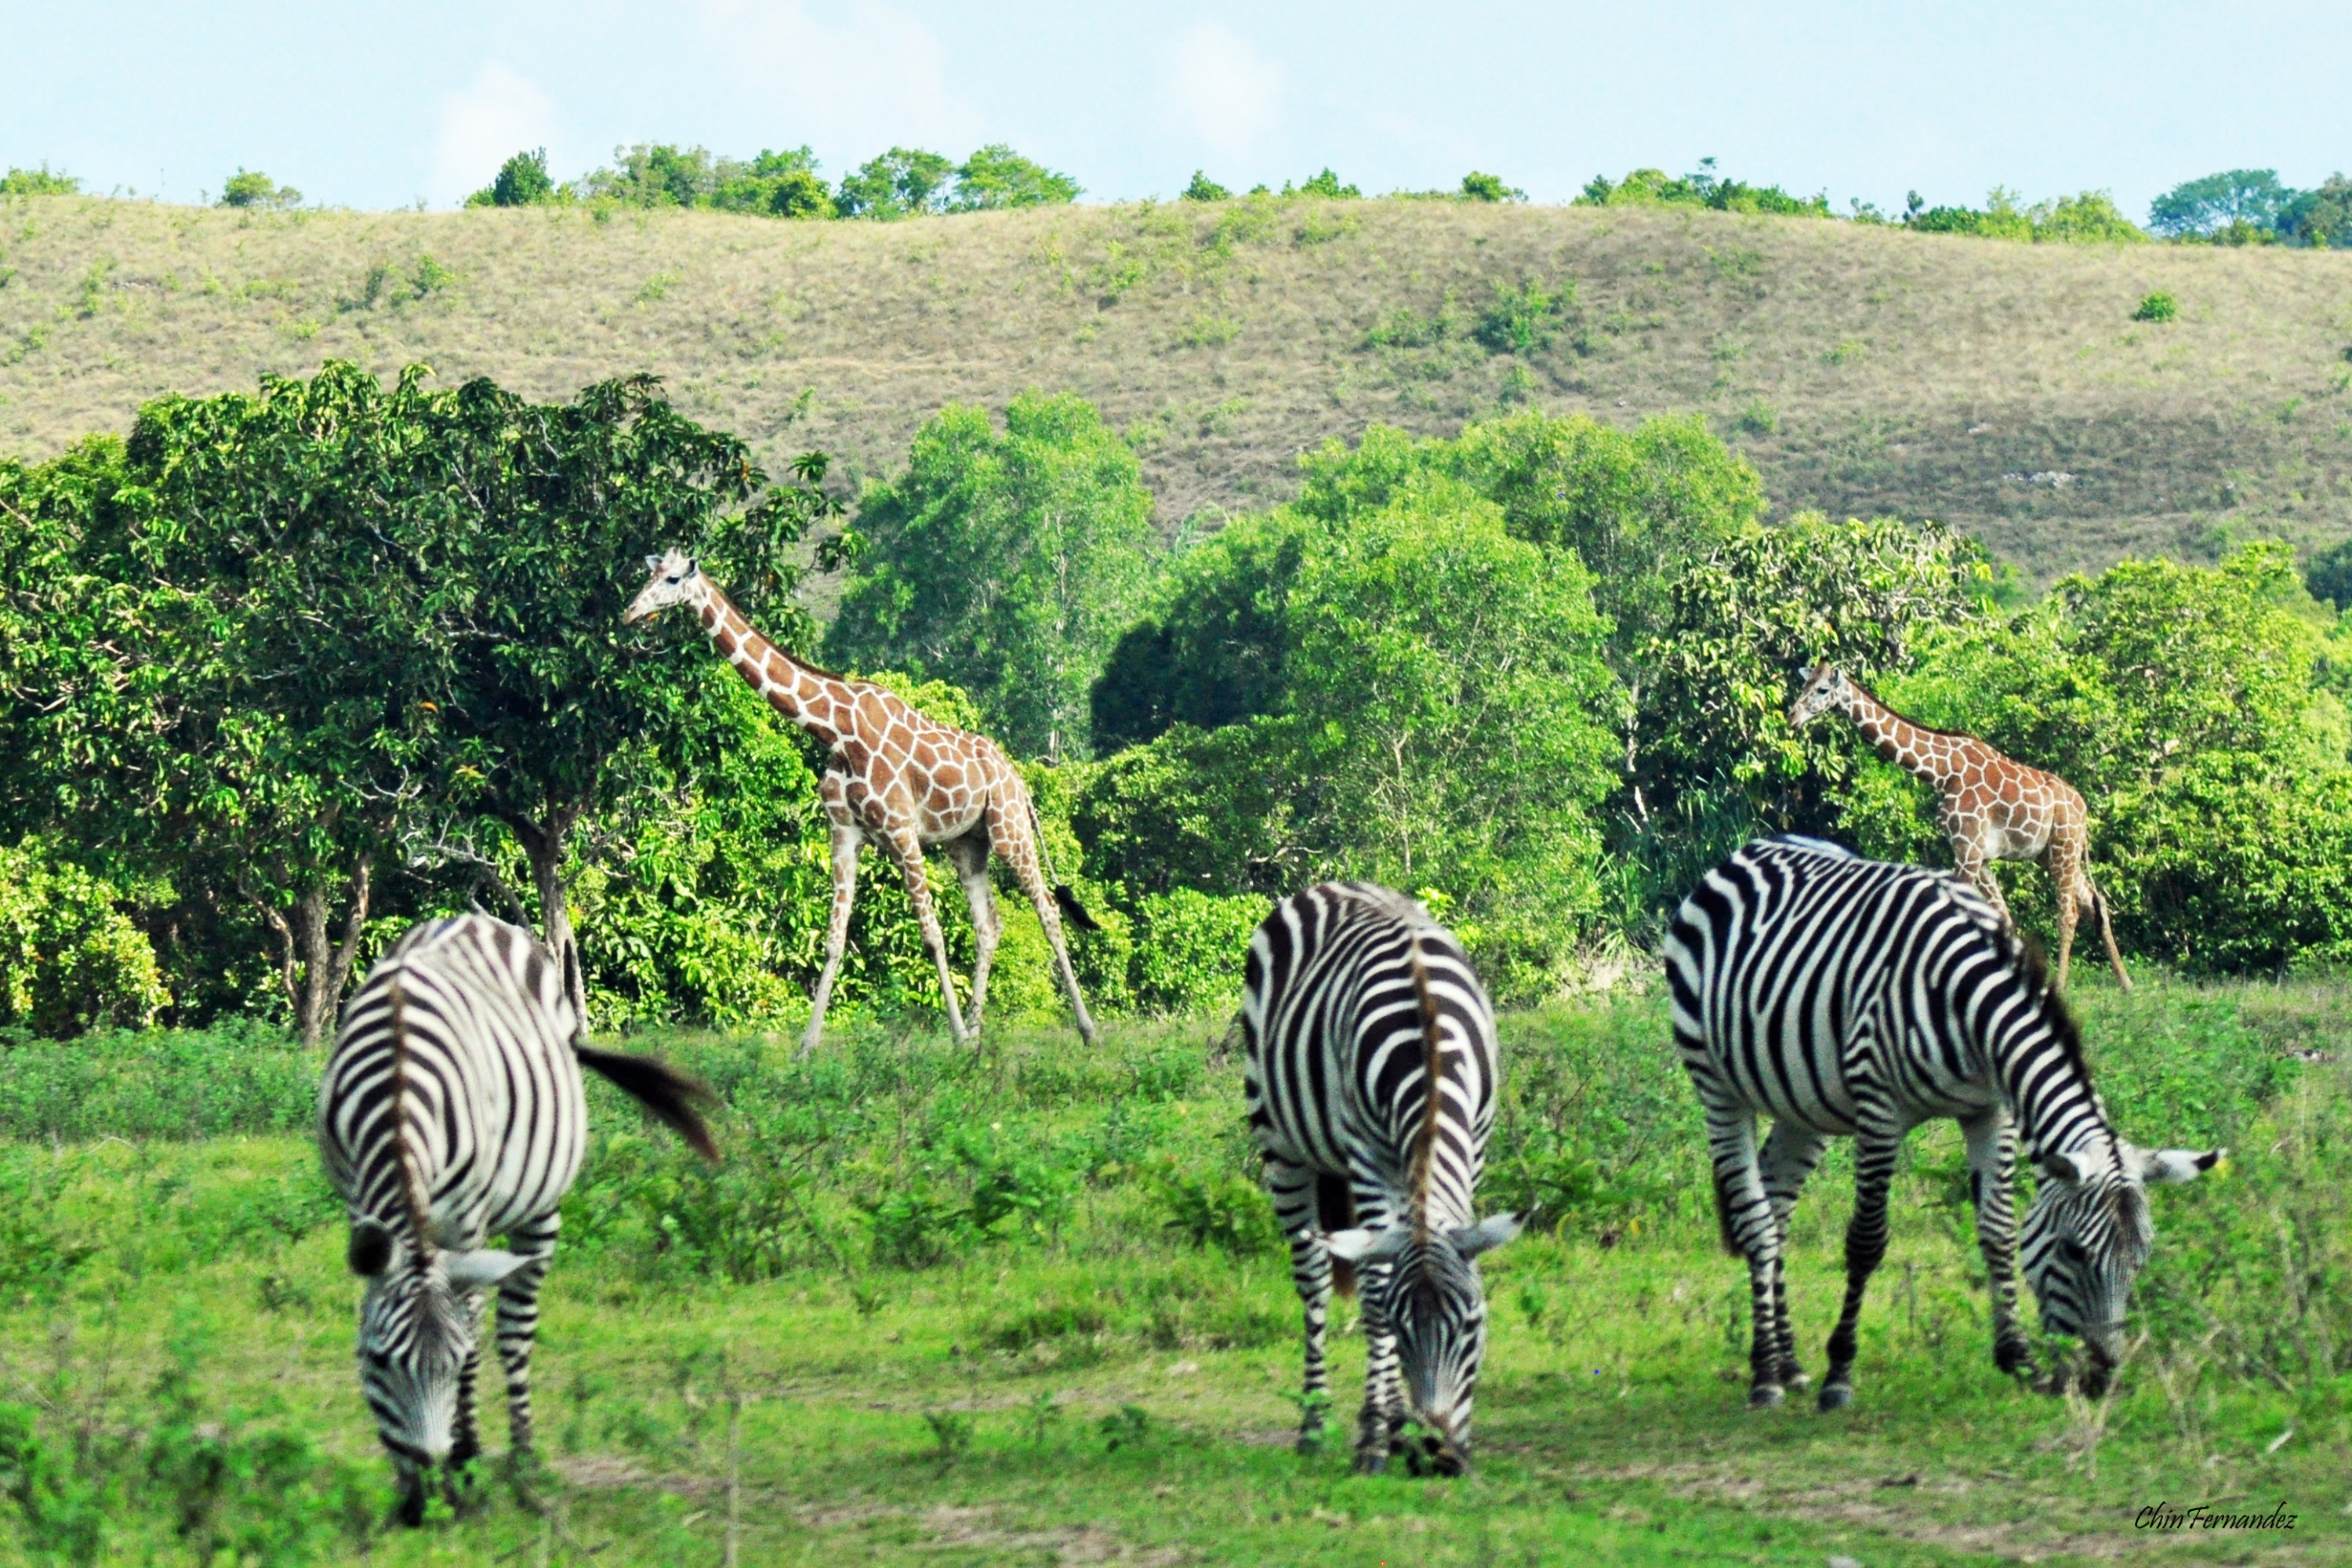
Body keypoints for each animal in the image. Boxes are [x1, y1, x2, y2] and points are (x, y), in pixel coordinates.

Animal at [318, 912, 715, 1523]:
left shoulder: (466, 1224)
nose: (426, 1506)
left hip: (540, 1209)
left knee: (512, 1331)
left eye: (451, 1364)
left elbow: (474, 1338)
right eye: (378, 1362)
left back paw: (523, 1466)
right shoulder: (359, 1202)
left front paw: (468, 1465)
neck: (397, 1083)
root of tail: (471, 916)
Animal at [626, 552, 1101, 1053]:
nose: (631, 613)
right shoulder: (844, 833)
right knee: (988, 925)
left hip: (1010, 830)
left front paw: (951, 1035)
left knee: (1048, 910)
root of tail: (1020, 782)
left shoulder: (901, 830)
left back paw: (1085, 1031)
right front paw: (806, 1046)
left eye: (672, 579)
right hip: (968, 844)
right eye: (649, 575)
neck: (834, 729)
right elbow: (835, 938)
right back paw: (975, 1034)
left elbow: (932, 935)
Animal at [1251, 888, 1524, 1476]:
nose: (1441, 1457)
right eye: (1401, 1332)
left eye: (1473, 1326)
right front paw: (1373, 1439)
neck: (1428, 1043)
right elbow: (1375, 1293)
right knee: (1314, 1278)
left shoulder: (1476, 1143)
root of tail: (1333, 886)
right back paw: (1316, 1426)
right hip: (1282, 1146)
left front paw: (1396, 1428)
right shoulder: (1369, 1158)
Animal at [1665, 841, 2211, 1420]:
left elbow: (1997, 1233)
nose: (2101, 1380)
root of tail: (1748, 851)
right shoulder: (1879, 1108)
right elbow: (1866, 1242)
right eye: (2073, 1252)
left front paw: (2019, 1361)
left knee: (1777, 1203)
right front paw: (1840, 1374)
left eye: (2141, 1259)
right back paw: (1766, 1374)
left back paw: (1789, 1363)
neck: (1964, 1000)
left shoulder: (1990, 1111)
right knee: (1755, 1220)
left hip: (1801, 1103)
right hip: (1715, 1083)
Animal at [1788, 667, 2145, 992]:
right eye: (1804, 684)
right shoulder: (1978, 854)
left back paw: (2062, 984)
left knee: (2069, 912)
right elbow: (2003, 918)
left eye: (1822, 690)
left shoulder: (1968, 849)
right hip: (2051, 854)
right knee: (2096, 902)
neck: (1941, 771)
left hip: (2063, 848)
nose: (1792, 716)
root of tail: (2083, 809)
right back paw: (2125, 983)